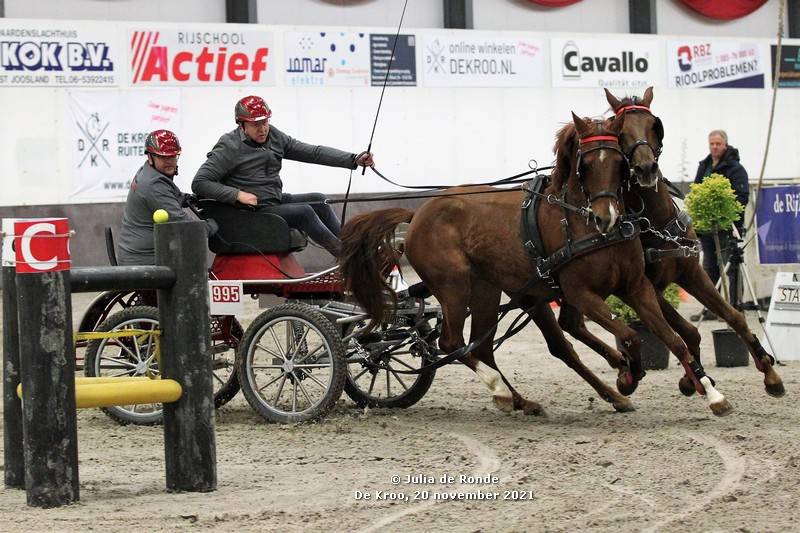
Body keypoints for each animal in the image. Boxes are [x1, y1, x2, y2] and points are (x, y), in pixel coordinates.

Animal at [338, 113, 732, 416]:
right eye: (586, 164)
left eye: (619, 161)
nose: (607, 217)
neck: (583, 223)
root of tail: (417, 213)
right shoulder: (580, 292)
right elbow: (631, 336)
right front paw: (627, 375)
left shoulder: (635, 286)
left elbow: (673, 339)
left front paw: (712, 394)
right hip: (454, 287)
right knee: (453, 342)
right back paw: (501, 390)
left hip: (488, 290)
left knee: (482, 347)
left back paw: (521, 400)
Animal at [556, 87, 780, 396]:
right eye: (620, 131)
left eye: (654, 126)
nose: (646, 169)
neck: (658, 223)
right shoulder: (649, 287)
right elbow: (685, 331)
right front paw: (693, 379)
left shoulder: (692, 273)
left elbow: (732, 316)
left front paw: (770, 373)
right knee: (574, 323)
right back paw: (623, 370)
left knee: (572, 322)